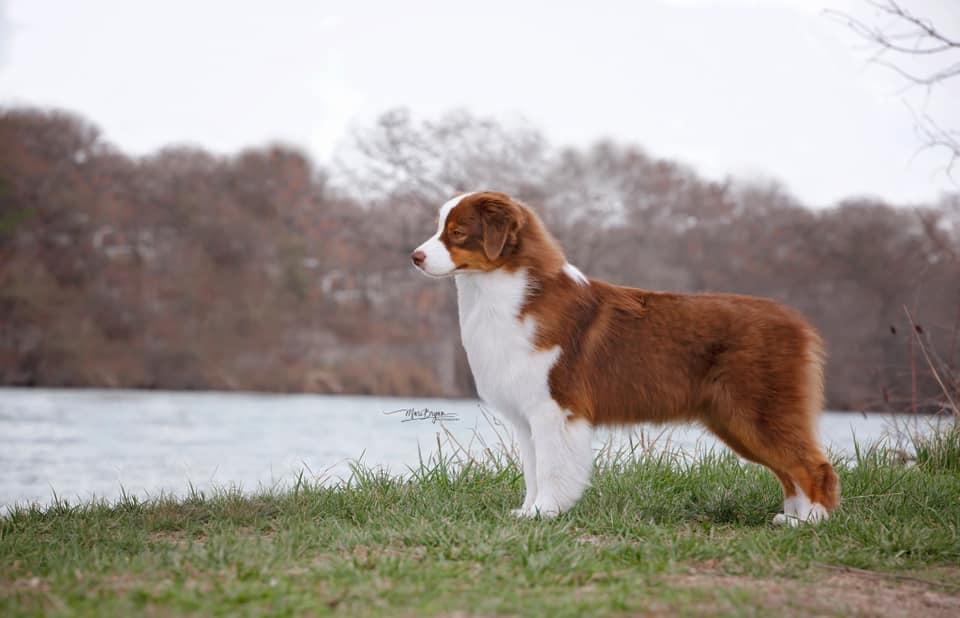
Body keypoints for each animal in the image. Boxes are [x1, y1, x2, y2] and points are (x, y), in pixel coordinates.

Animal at [408, 190, 836, 524]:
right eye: (438, 227)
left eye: (457, 232)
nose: (414, 256)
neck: (501, 291)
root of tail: (799, 323)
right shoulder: (527, 415)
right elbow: (532, 468)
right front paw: (527, 511)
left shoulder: (555, 408)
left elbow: (551, 467)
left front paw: (546, 512)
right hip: (734, 420)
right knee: (790, 469)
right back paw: (791, 517)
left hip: (758, 411)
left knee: (813, 465)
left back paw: (811, 521)